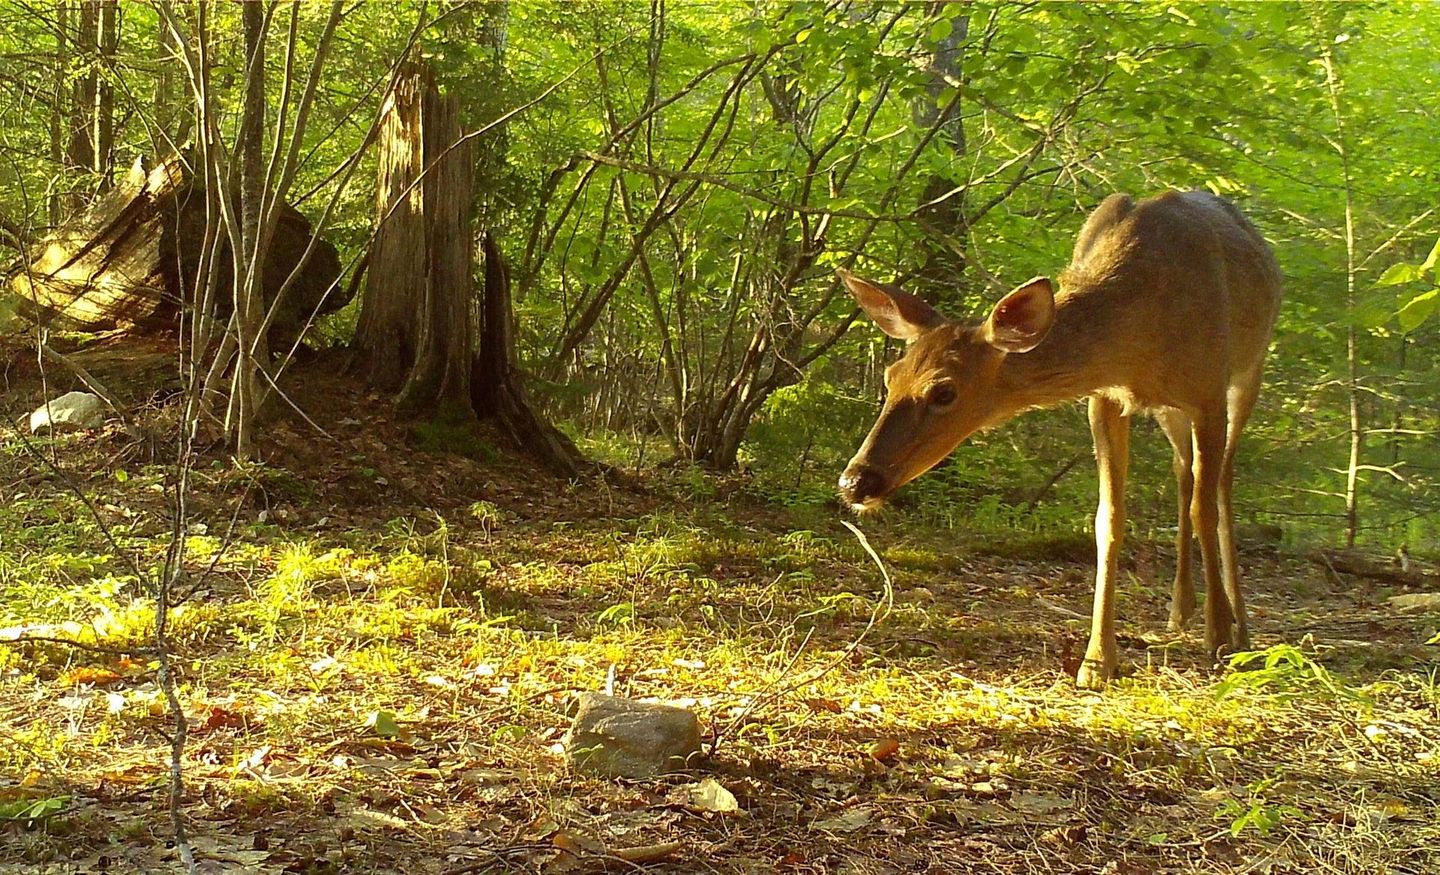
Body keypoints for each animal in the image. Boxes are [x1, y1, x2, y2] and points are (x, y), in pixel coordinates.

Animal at [837, 191, 1282, 688]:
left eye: (944, 391)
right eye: (890, 377)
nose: (856, 481)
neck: (1138, 334)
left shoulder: (1208, 393)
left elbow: (1205, 510)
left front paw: (1220, 635)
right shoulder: (1105, 398)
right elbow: (1108, 520)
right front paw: (1097, 661)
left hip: (1248, 374)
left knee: (1221, 483)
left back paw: (1238, 625)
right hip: (1171, 411)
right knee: (1183, 471)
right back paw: (1179, 610)